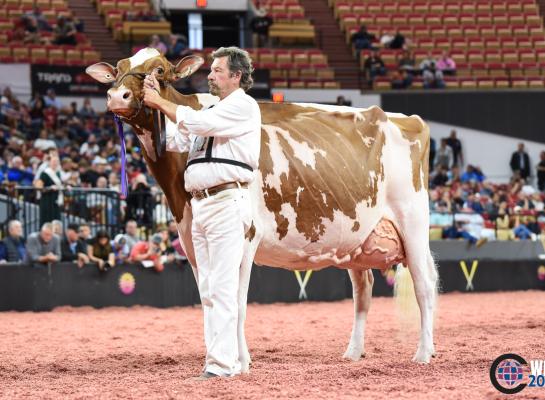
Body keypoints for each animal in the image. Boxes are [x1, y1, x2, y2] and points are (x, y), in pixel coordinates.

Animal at [88, 48, 438, 370]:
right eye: (117, 69)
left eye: (159, 69)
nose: (117, 96)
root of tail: (405, 118)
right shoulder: (190, 241)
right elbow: (209, 301)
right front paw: (216, 356)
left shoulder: (245, 237)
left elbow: (237, 302)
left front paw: (240, 361)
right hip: (356, 238)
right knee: (363, 292)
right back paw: (354, 352)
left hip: (413, 224)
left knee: (424, 286)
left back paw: (423, 353)